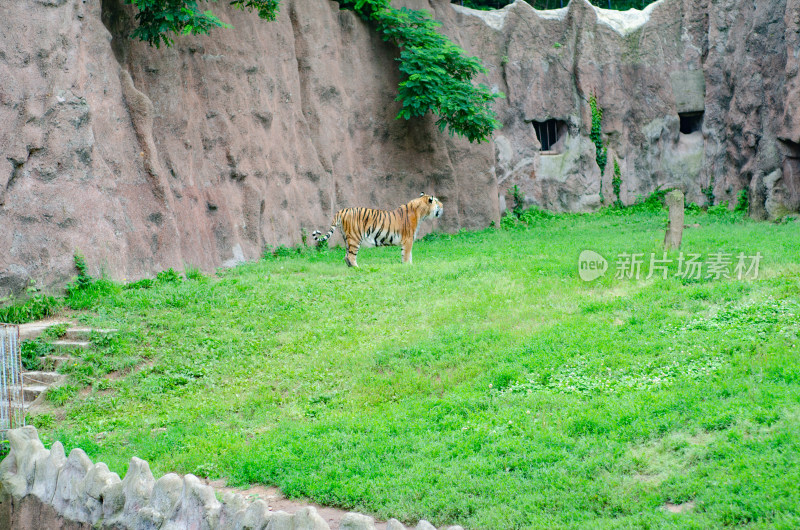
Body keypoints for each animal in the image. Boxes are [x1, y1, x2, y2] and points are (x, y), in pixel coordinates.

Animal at [310, 193, 444, 266]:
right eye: (437, 202)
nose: (443, 206)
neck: (421, 213)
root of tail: (342, 210)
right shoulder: (408, 239)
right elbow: (406, 254)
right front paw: (407, 265)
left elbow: (408, 254)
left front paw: (409, 266)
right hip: (355, 238)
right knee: (351, 257)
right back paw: (358, 268)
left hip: (346, 238)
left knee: (346, 256)